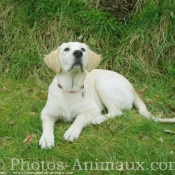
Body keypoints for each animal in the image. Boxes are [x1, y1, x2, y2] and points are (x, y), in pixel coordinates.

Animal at [39, 41, 175, 148]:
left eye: (83, 49)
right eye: (66, 49)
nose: (78, 53)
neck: (70, 90)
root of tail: (132, 88)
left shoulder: (93, 110)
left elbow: (80, 117)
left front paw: (72, 131)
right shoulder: (46, 113)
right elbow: (47, 125)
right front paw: (46, 139)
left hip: (102, 84)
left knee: (116, 111)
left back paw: (98, 119)